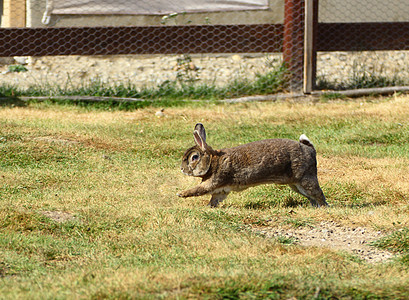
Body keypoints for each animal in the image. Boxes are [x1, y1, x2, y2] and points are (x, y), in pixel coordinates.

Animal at [177, 123, 326, 207]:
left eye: (194, 157)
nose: (182, 169)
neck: (214, 161)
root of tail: (310, 150)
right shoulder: (220, 191)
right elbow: (215, 199)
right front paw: (209, 207)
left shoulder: (214, 182)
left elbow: (199, 189)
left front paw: (181, 194)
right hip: (296, 185)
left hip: (305, 178)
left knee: (317, 193)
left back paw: (324, 206)